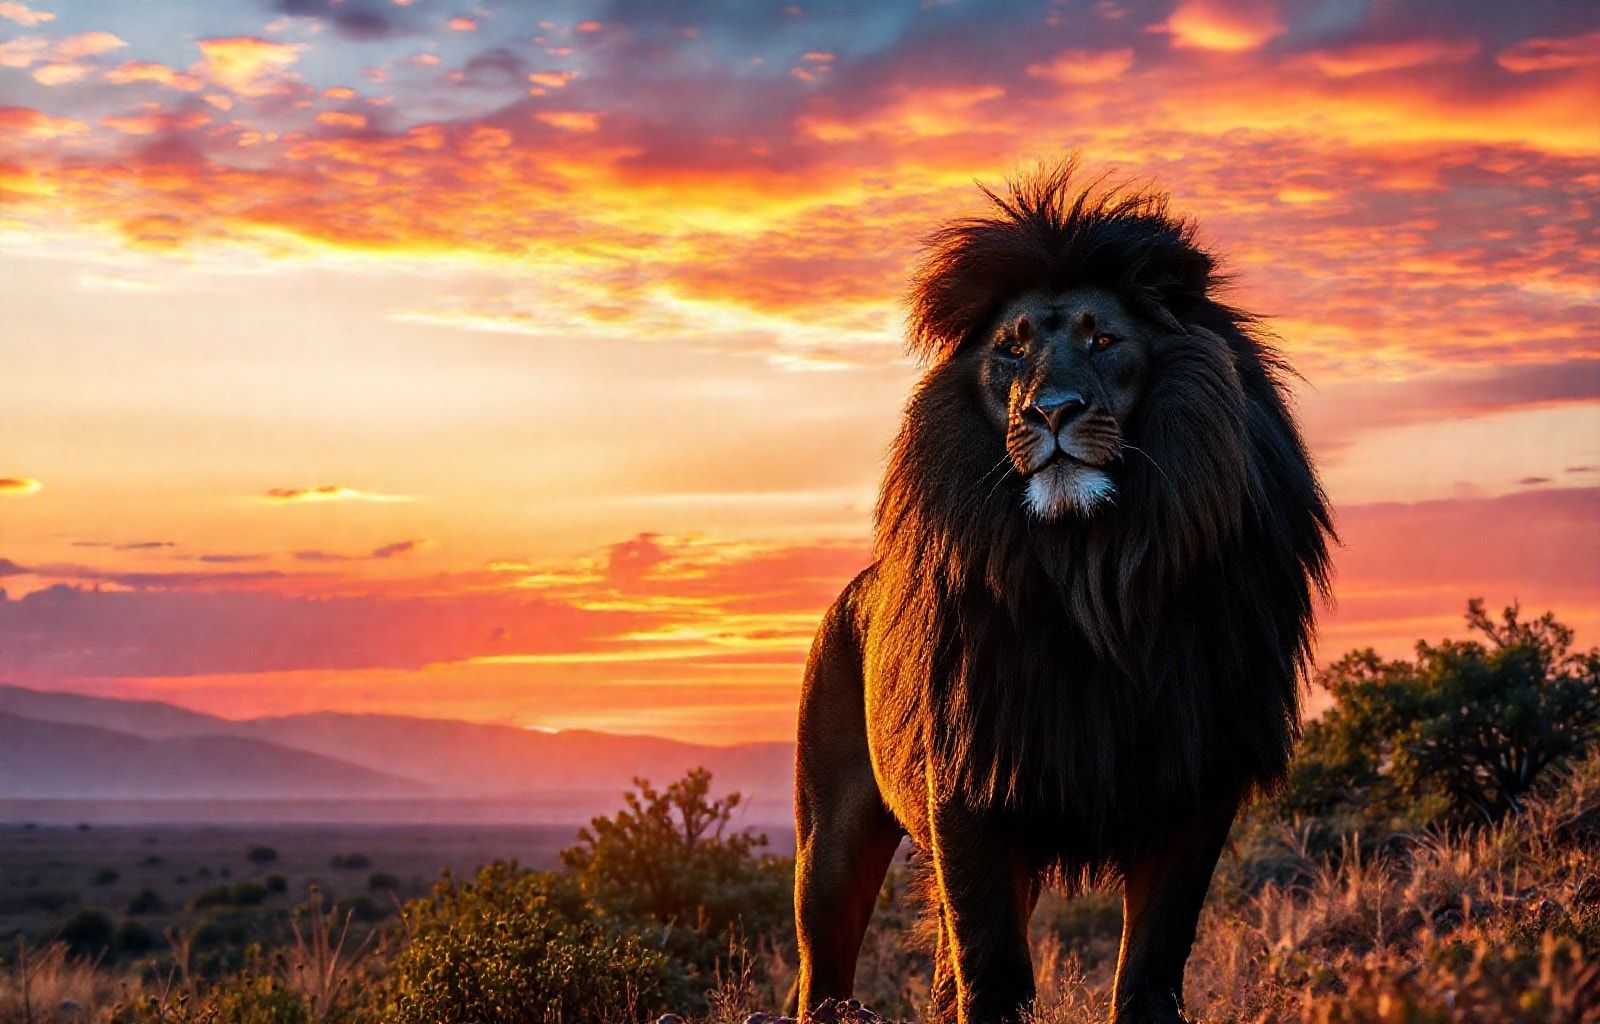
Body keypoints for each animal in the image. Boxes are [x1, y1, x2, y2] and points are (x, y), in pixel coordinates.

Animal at [793, 164, 1333, 1024]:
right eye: (1011, 351)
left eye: (1102, 340)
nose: (1051, 411)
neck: (1091, 570)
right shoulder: (970, 780)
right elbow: (993, 967)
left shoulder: (1195, 781)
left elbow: (1151, 961)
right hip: (830, 839)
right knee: (824, 966)